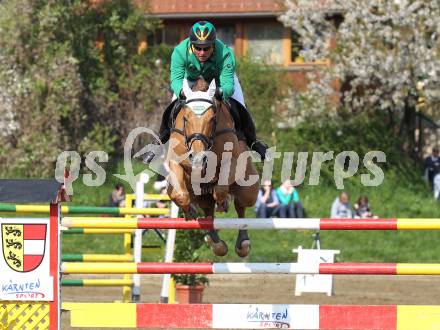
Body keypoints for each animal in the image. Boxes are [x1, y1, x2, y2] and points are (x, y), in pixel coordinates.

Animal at [167, 78, 260, 258]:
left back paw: (242, 243)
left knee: (241, 207)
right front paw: (189, 212)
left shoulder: (233, 162)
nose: (197, 158)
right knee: (207, 209)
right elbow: (180, 195)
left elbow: (221, 190)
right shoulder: (174, 163)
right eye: (186, 118)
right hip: (201, 195)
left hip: (248, 190)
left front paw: (223, 202)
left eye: (212, 119)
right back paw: (216, 243)